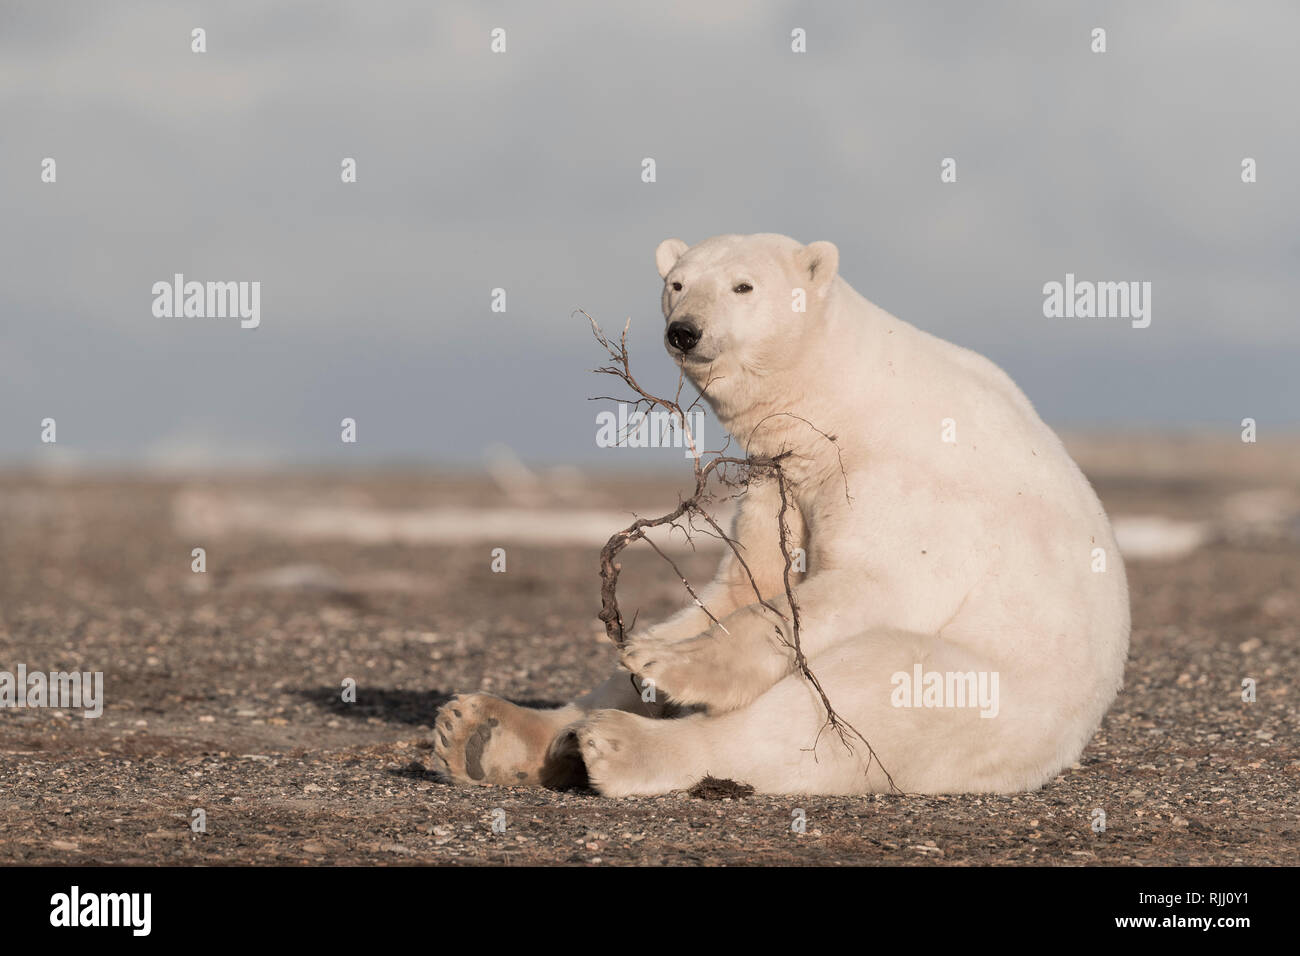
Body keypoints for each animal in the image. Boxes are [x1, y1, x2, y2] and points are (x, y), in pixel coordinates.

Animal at [434, 234, 1128, 801]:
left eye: (743, 286)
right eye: (677, 282)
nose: (685, 330)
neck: (844, 399)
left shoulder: (908, 482)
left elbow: (867, 588)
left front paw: (672, 664)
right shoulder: (781, 478)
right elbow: (748, 581)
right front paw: (655, 647)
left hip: (988, 701)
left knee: (859, 694)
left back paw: (620, 742)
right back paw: (484, 731)